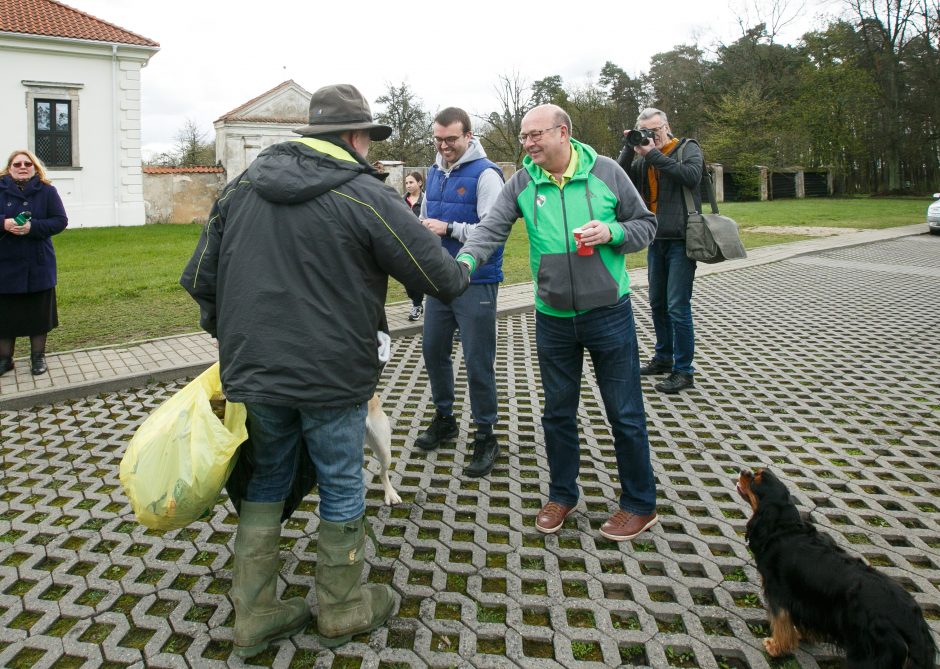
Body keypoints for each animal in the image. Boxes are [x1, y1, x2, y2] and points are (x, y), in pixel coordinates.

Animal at [740, 468, 936, 664]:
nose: (744, 471)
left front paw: (775, 647)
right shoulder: (807, 601)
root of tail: (915, 625)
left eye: (756, 479)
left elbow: (781, 623)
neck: (784, 528)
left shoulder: (778, 592)